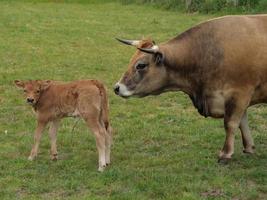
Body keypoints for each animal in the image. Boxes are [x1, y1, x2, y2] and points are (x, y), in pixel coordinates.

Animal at [114, 14, 267, 163]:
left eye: (141, 65)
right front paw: (249, 148)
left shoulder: (240, 93)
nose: (117, 87)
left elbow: (231, 123)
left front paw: (225, 154)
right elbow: (242, 122)